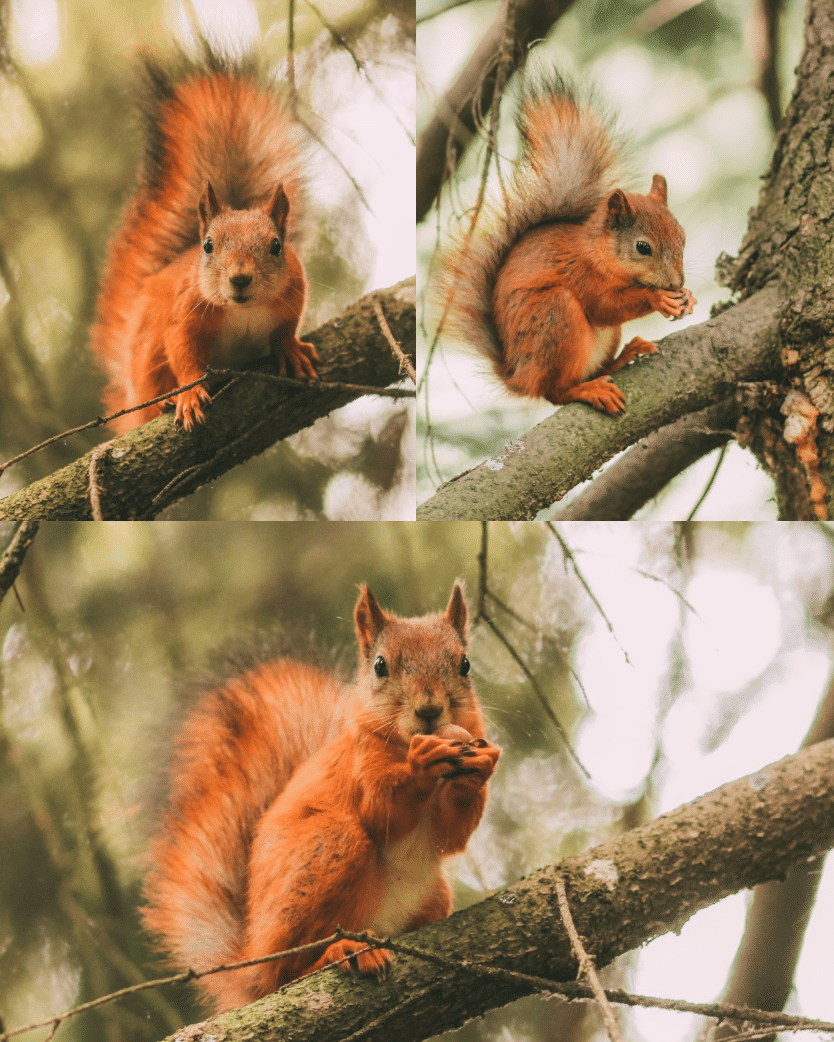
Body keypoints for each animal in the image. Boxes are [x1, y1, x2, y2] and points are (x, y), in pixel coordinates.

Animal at [88, 47, 316, 431]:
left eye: (276, 246)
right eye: (208, 245)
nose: (240, 278)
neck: (243, 311)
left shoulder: (294, 290)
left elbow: (286, 329)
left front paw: (290, 348)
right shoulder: (187, 311)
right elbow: (183, 352)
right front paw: (190, 394)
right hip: (147, 353)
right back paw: (161, 403)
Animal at [141, 583, 502, 1012]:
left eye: (465, 664)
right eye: (380, 666)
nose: (429, 710)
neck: (401, 744)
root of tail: (252, 958)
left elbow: (452, 835)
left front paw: (478, 767)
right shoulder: (358, 765)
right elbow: (382, 811)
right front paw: (421, 764)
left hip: (433, 895)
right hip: (329, 847)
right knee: (287, 971)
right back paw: (340, 952)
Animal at [435, 73, 696, 412]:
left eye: (682, 237)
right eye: (643, 247)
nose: (677, 283)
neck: (598, 254)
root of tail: (518, 377)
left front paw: (687, 298)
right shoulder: (579, 272)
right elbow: (604, 307)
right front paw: (658, 298)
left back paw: (625, 355)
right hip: (554, 316)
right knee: (556, 392)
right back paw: (589, 390)